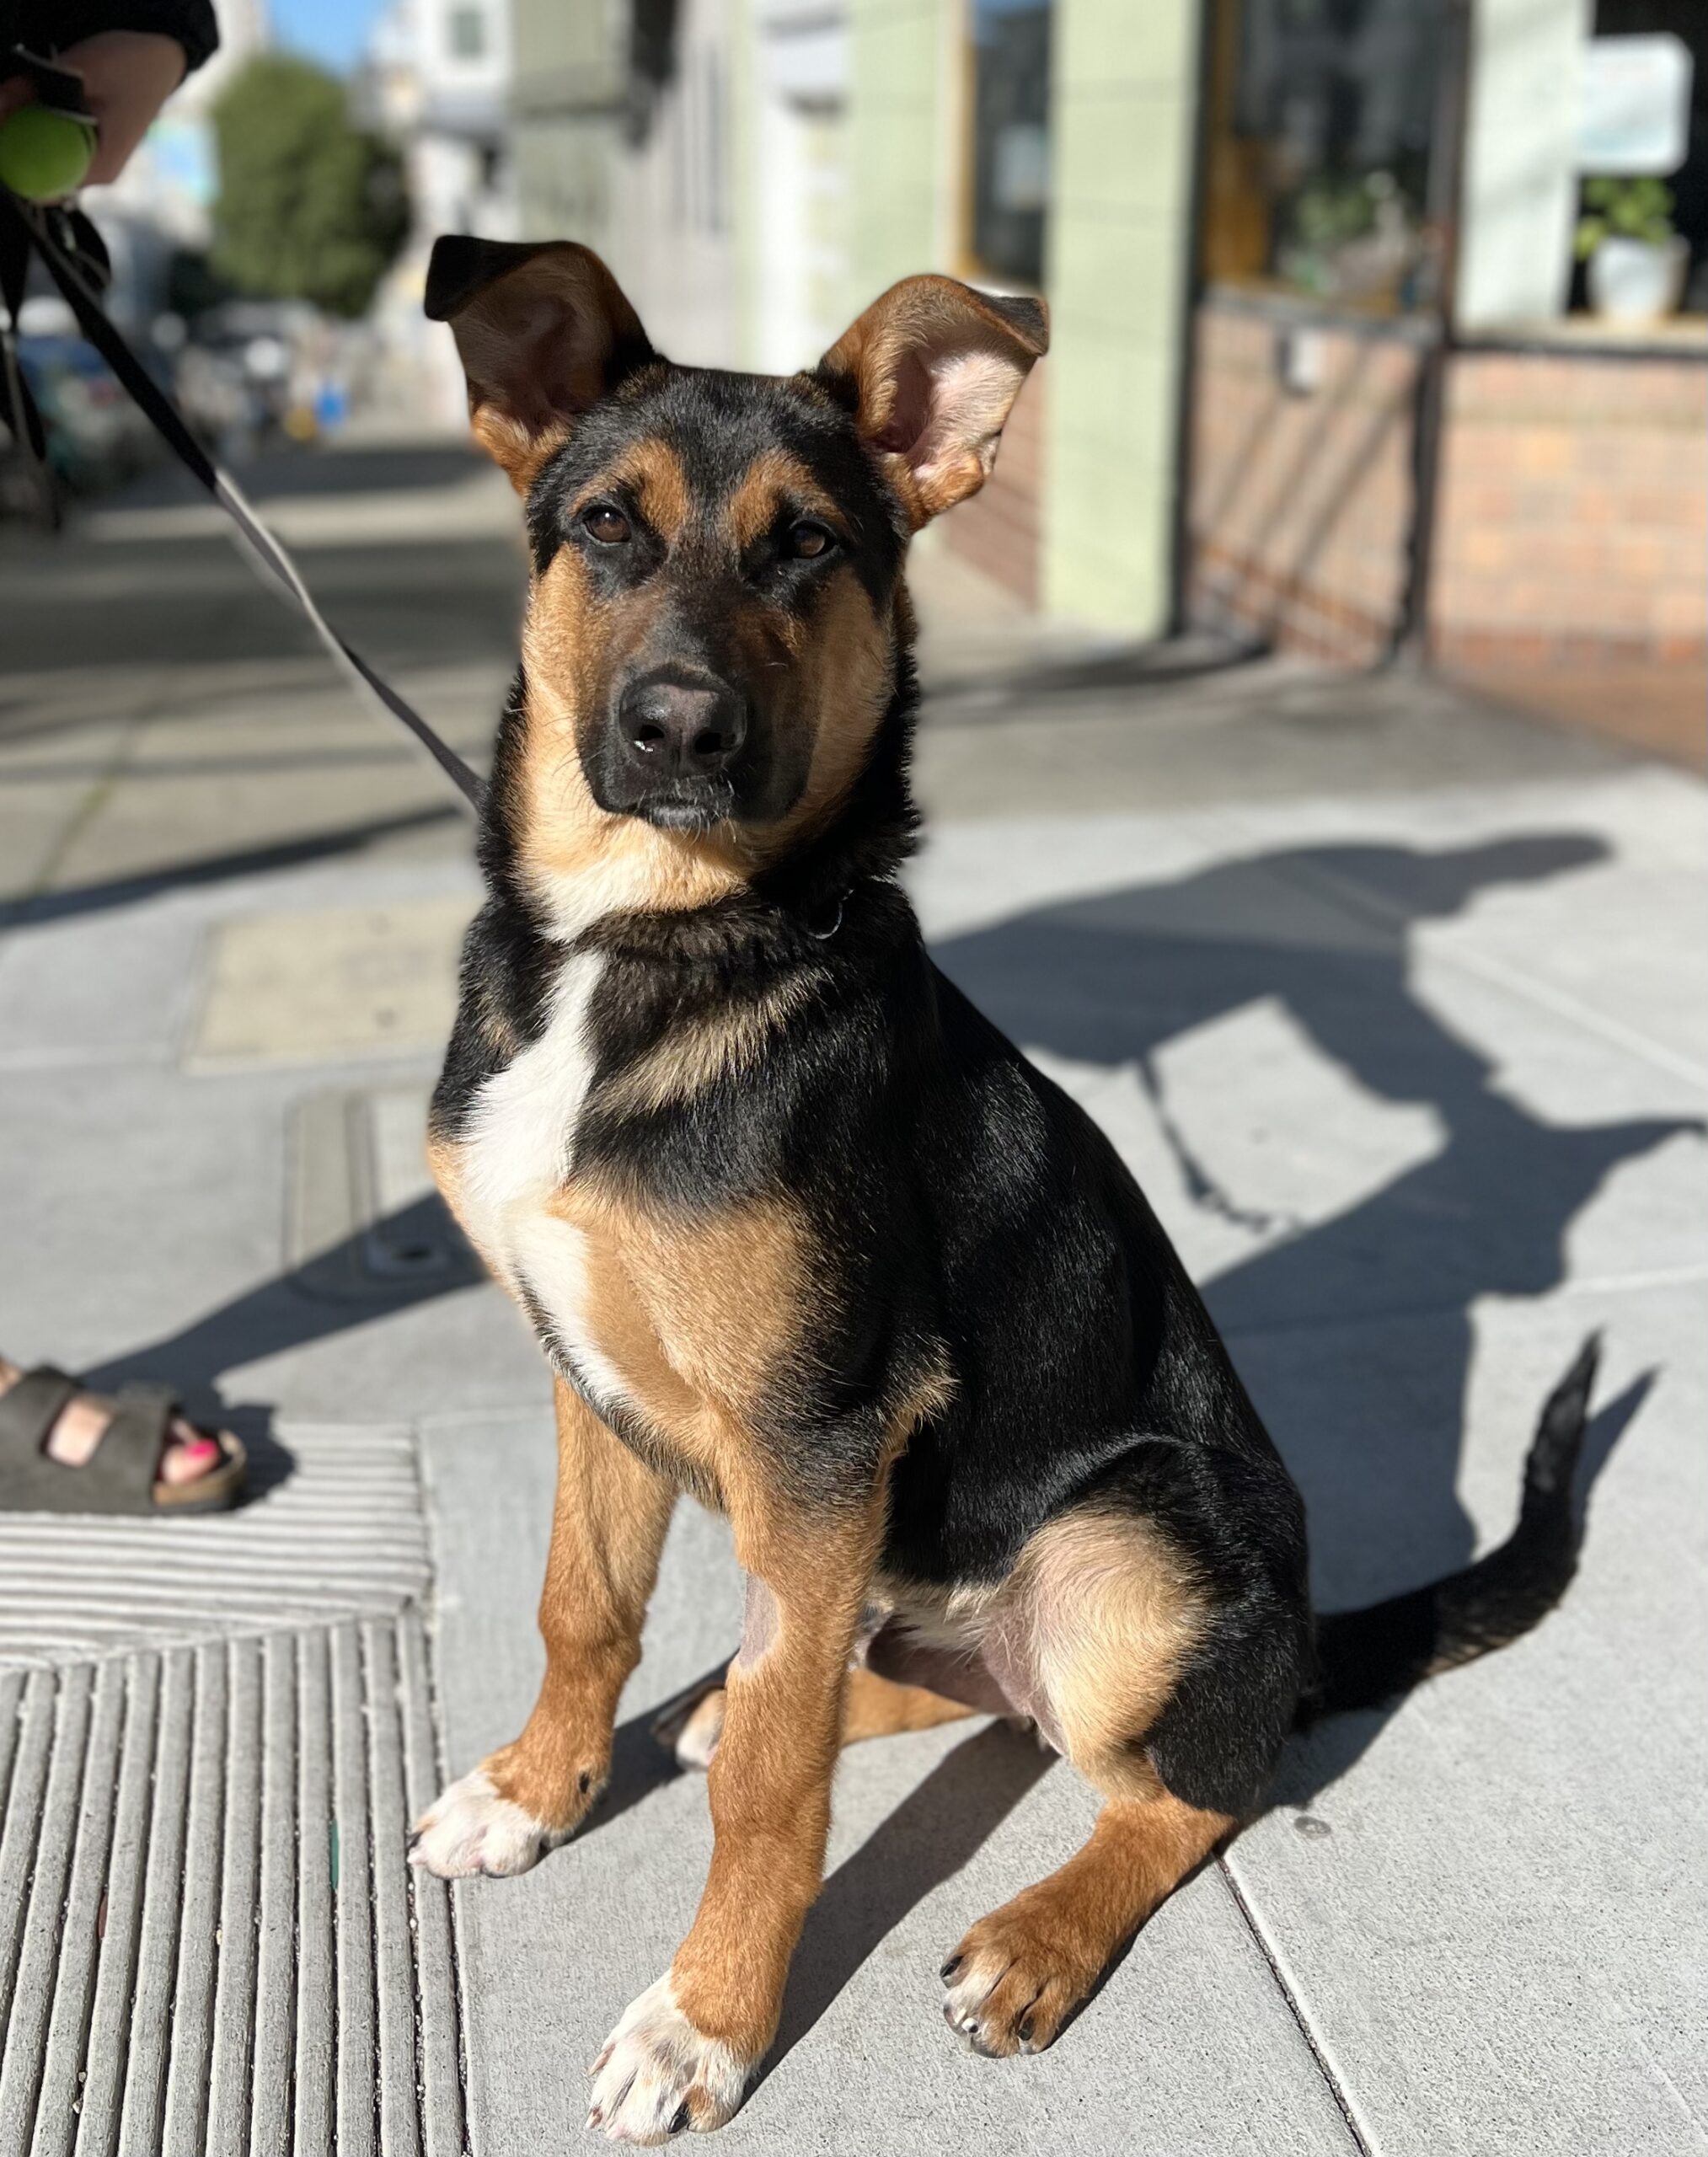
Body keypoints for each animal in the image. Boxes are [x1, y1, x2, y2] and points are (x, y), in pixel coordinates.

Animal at [403, 236, 1604, 2139]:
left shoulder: (820, 1431)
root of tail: (1297, 1632)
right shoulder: (589, 1375)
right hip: (908, 1561)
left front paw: (705, 2019)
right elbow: (583, 1609)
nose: (677, 731)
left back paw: (1035, 1933)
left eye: (807, 544)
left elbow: (771, 1789)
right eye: (601, 524)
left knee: (1181, 1783)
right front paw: (535, 1789)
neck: (646, 946)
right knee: (895, 1685)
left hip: (1124, 1549)